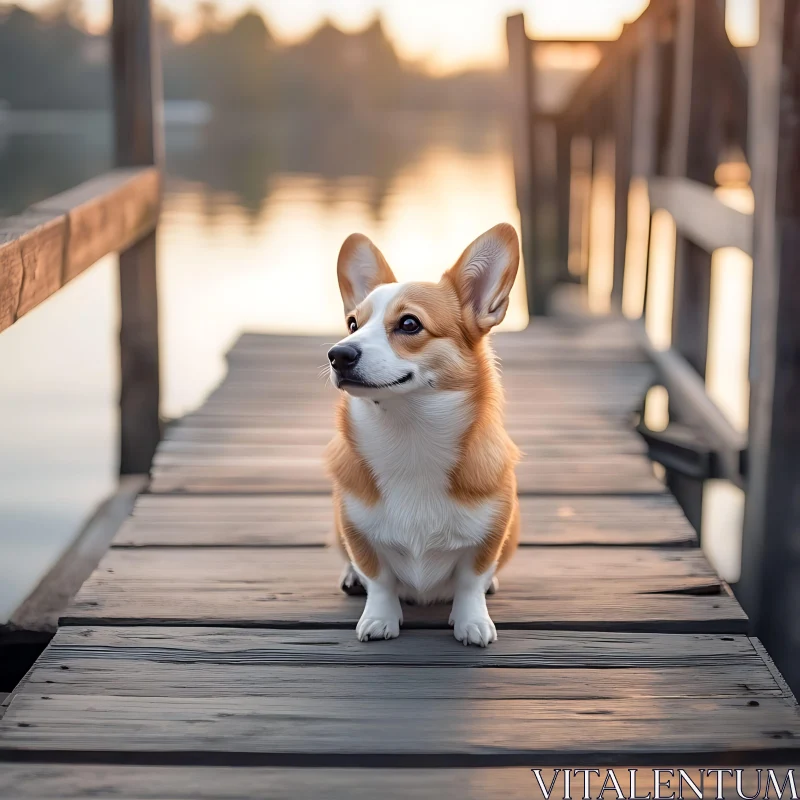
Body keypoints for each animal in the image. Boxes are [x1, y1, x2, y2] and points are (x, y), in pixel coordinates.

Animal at [326, 222, 520, 648]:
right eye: (352, 324)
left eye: (409, 324)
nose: (338, 354)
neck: (410, 433)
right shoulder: (356, 528)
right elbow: (379, 579)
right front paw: (379, 618)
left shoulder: (493, 529)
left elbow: (471, 580)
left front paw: (472, 621)